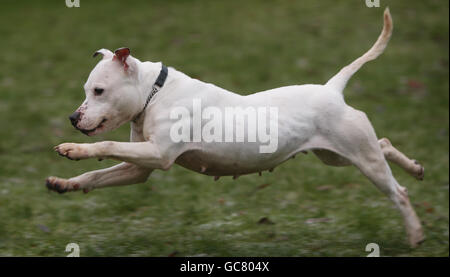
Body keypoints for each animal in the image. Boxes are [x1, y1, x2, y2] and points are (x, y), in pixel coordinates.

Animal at [46, 8, 426, 246]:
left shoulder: (158, 154)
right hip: (338, 155)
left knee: (398, 192)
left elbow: (105, 146)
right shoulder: (138, 167)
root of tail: (332, 89)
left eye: (99, 91)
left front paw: (73, 149)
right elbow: (96, 176)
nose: (73, 118)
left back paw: (415, 234)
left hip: (360, 159)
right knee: (384, 144)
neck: (154, 92)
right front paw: (64, 183)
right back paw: (415, 167)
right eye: (86, 90)